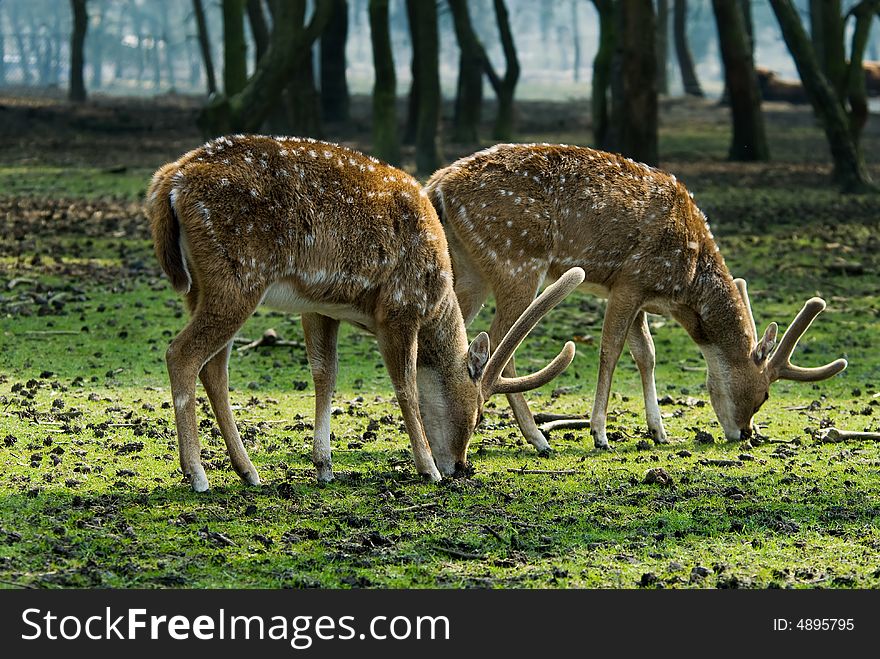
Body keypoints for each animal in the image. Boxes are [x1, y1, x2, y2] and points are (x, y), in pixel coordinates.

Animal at [146, 137, 584, 492]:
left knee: (214, 367)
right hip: (236, 280)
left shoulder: (319, 306)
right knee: (181, 353)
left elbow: (326, 374)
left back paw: (248, 471)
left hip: (201, 288)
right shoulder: (399, 307)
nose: (460, 467)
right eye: (477, 415)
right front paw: (427, 468)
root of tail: (167, 183)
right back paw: (197, 474)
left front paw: (324, 466)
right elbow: (405, 384)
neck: (436, 297)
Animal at [422, 144, 848, 454]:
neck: (684, 287)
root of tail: (435, 185)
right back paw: (539, 439)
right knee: (500, 342)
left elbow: (646, 354)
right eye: (764, 394)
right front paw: (599, 433)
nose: (746, 433)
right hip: (517, 261)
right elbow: (610, 350)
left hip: (469, 268)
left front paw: (659, 431)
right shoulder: (631, 280)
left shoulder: (639, 296)